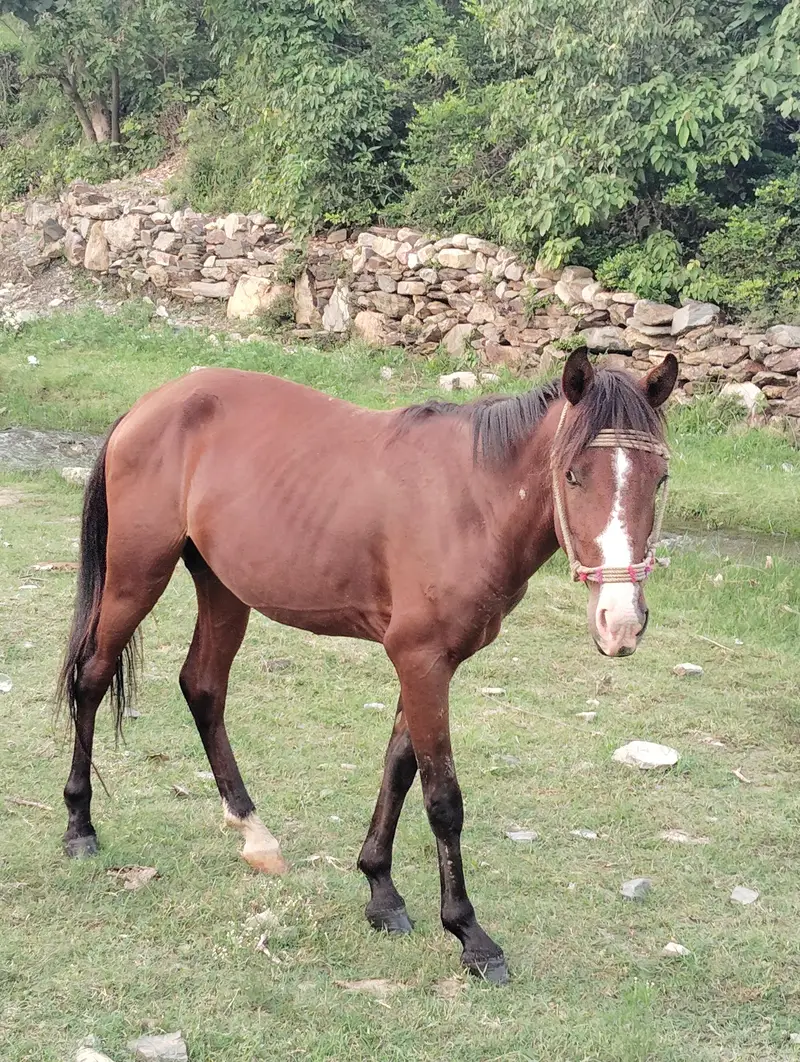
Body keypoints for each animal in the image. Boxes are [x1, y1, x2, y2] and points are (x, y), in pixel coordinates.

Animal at [59, 348, 677, 984]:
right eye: (574, 474)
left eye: (659, 478)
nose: (621, 622)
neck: (472, 499)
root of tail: (151, 404)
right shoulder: (421, 659)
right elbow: (443, 800)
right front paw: (470, 934)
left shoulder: (429, 663)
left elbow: (399, 767)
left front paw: (380, 890)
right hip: (136, 575)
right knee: (93, 677)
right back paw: (80, 826)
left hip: (222, 586)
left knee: (202, 687)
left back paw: (253, 833)